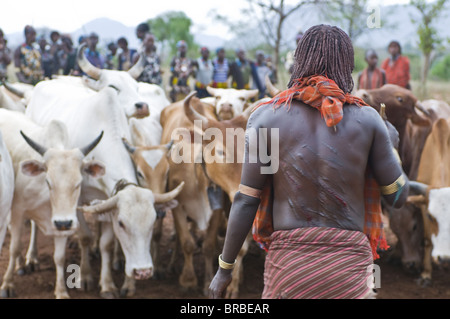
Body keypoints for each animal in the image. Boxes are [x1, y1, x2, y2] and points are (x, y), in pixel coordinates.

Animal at [0, 109, 103, 298]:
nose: (63, 222)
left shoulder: (64, 222)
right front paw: (7, 285)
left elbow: (59, 258)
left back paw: (32, 258)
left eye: (78, 183)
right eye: (48, 181)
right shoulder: (17, 211)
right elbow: (14, 247)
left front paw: (61, 291)